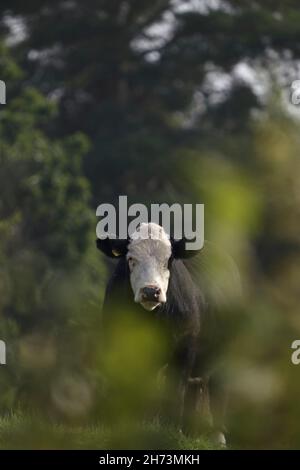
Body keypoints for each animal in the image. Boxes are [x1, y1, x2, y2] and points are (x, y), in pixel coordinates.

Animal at [96, 222, 239, 446]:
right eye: (131, 259)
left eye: (168, 260)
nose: (150, 291)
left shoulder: (185, 345)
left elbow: (175, 391)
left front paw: (171, 431)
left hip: (225, 351)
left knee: (217, 389)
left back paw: (217, 436)